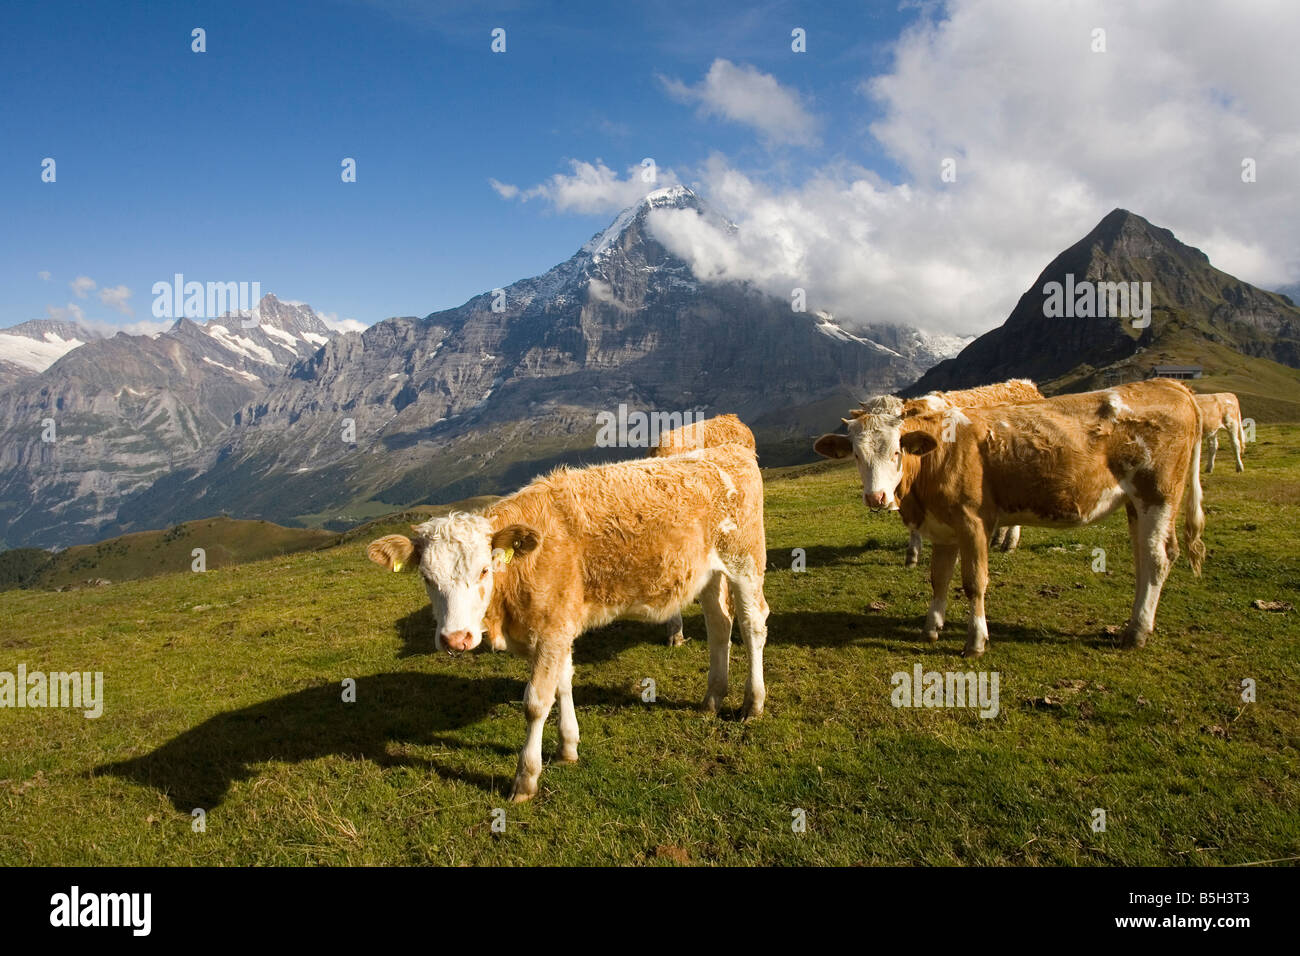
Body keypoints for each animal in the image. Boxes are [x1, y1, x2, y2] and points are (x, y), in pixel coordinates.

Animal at [366, 444, 764, 806]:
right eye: (427, 577)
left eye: (484, 570)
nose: (456, 639)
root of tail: (726, 449)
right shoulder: (556, 626)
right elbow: (563, 682)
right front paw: (567, 747)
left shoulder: (551, 630)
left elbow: (536, 702)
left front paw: (526, 778)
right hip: (709, 573)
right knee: (719, 625)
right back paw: (712, 698)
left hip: (745, 560)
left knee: (752, 625)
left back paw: (752, 704)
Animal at [837, 377, 1050, 564]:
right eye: (857, 453)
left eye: (899, 419)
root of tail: (1025, 385)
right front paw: (912, 554)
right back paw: (999, 538)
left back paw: (1009, 543)